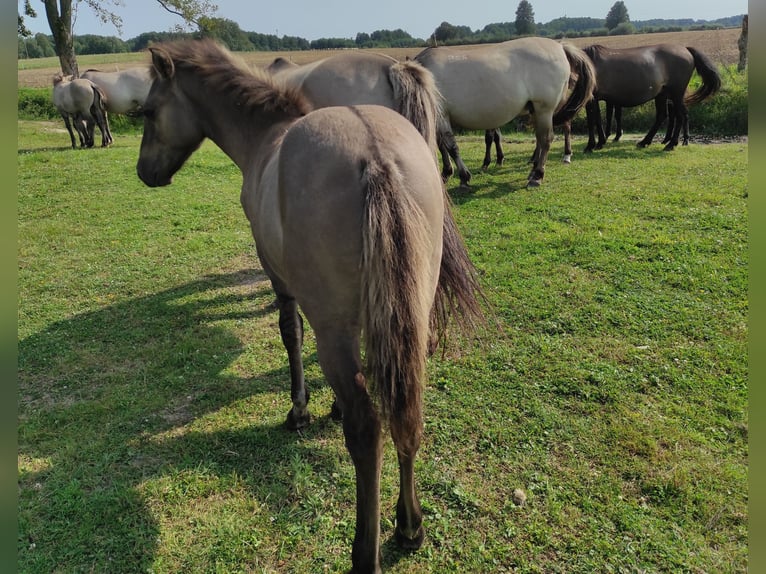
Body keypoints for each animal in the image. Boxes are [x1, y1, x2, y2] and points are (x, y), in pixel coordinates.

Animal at [416, 36, 596, 189]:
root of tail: (559, 46)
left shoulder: (440, 115)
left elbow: (450, 146)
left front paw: (462, 176)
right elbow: (441, 145)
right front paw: (446, 173)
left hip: (545, 109)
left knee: (546, 139)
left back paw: (538, 175)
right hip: (538, 111)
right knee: (540, 138)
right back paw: (534, 170)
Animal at [584, 43, 724, 153]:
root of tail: (685, 49)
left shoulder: (593, 99)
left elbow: (592, 120)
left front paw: (592, 145)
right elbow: (597, 119)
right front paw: (600, 142)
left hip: (676, 94)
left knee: (680, 115)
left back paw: (671, 144)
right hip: (662, 94)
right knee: (663, 116)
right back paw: (647, 141)